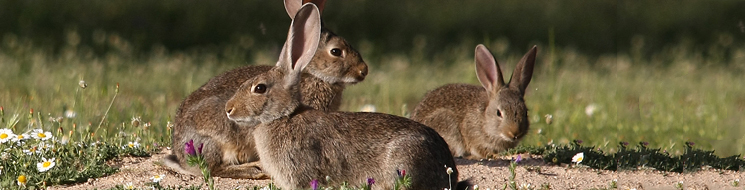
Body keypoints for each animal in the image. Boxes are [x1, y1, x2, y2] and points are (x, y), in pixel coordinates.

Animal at [166, 0, 370, 180]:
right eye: (336, 51)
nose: (364, 70)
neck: (314, 75)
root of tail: (180, 154)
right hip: (214, 142)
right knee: (213, 168)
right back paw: (253, 169)